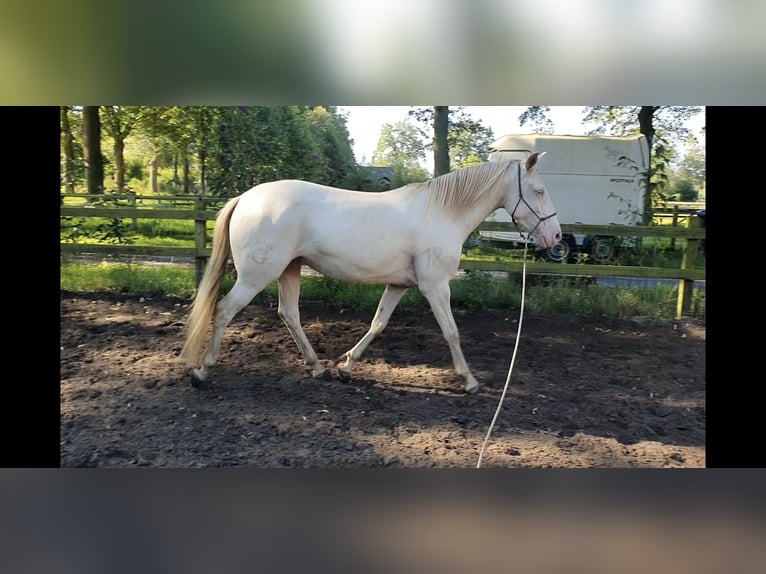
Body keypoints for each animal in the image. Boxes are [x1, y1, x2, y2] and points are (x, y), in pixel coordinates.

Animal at [182, 152, 560, 396]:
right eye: (540, 191)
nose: (555, 237)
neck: (442, 213)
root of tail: (245, 198)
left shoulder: (398, 285)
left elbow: (378, 324)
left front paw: (346, 368)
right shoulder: (436, 287)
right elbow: (452, 332)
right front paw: (470, 382)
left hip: (289, 270)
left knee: (288, 314)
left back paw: (319, 368)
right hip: (256, 276)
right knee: (224, 310)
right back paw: (202, 372)